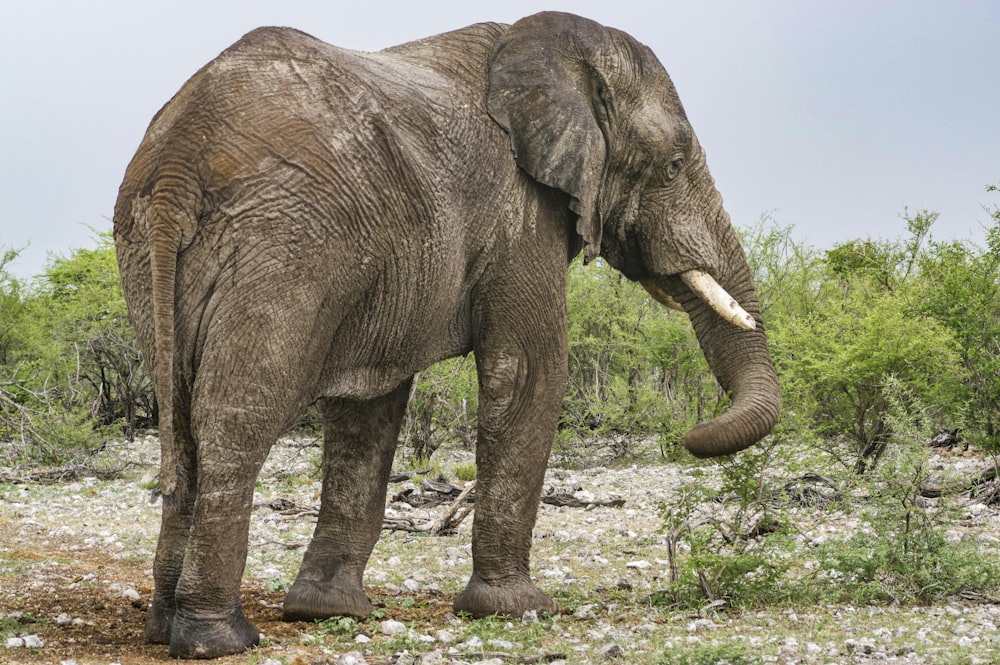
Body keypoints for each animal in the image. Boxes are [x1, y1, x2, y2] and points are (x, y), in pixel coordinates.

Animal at [111, 11, 780, 660]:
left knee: (182, 421)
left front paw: (329, 613)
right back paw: (217, 641)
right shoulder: (521, 210)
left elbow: (368, 407)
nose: (690, 434)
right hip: (281, 247)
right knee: (236, 420)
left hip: (153, 252)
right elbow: (529, 371)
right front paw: (519, 609)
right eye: (672, 166)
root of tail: (177, 164)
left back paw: (163, 629)